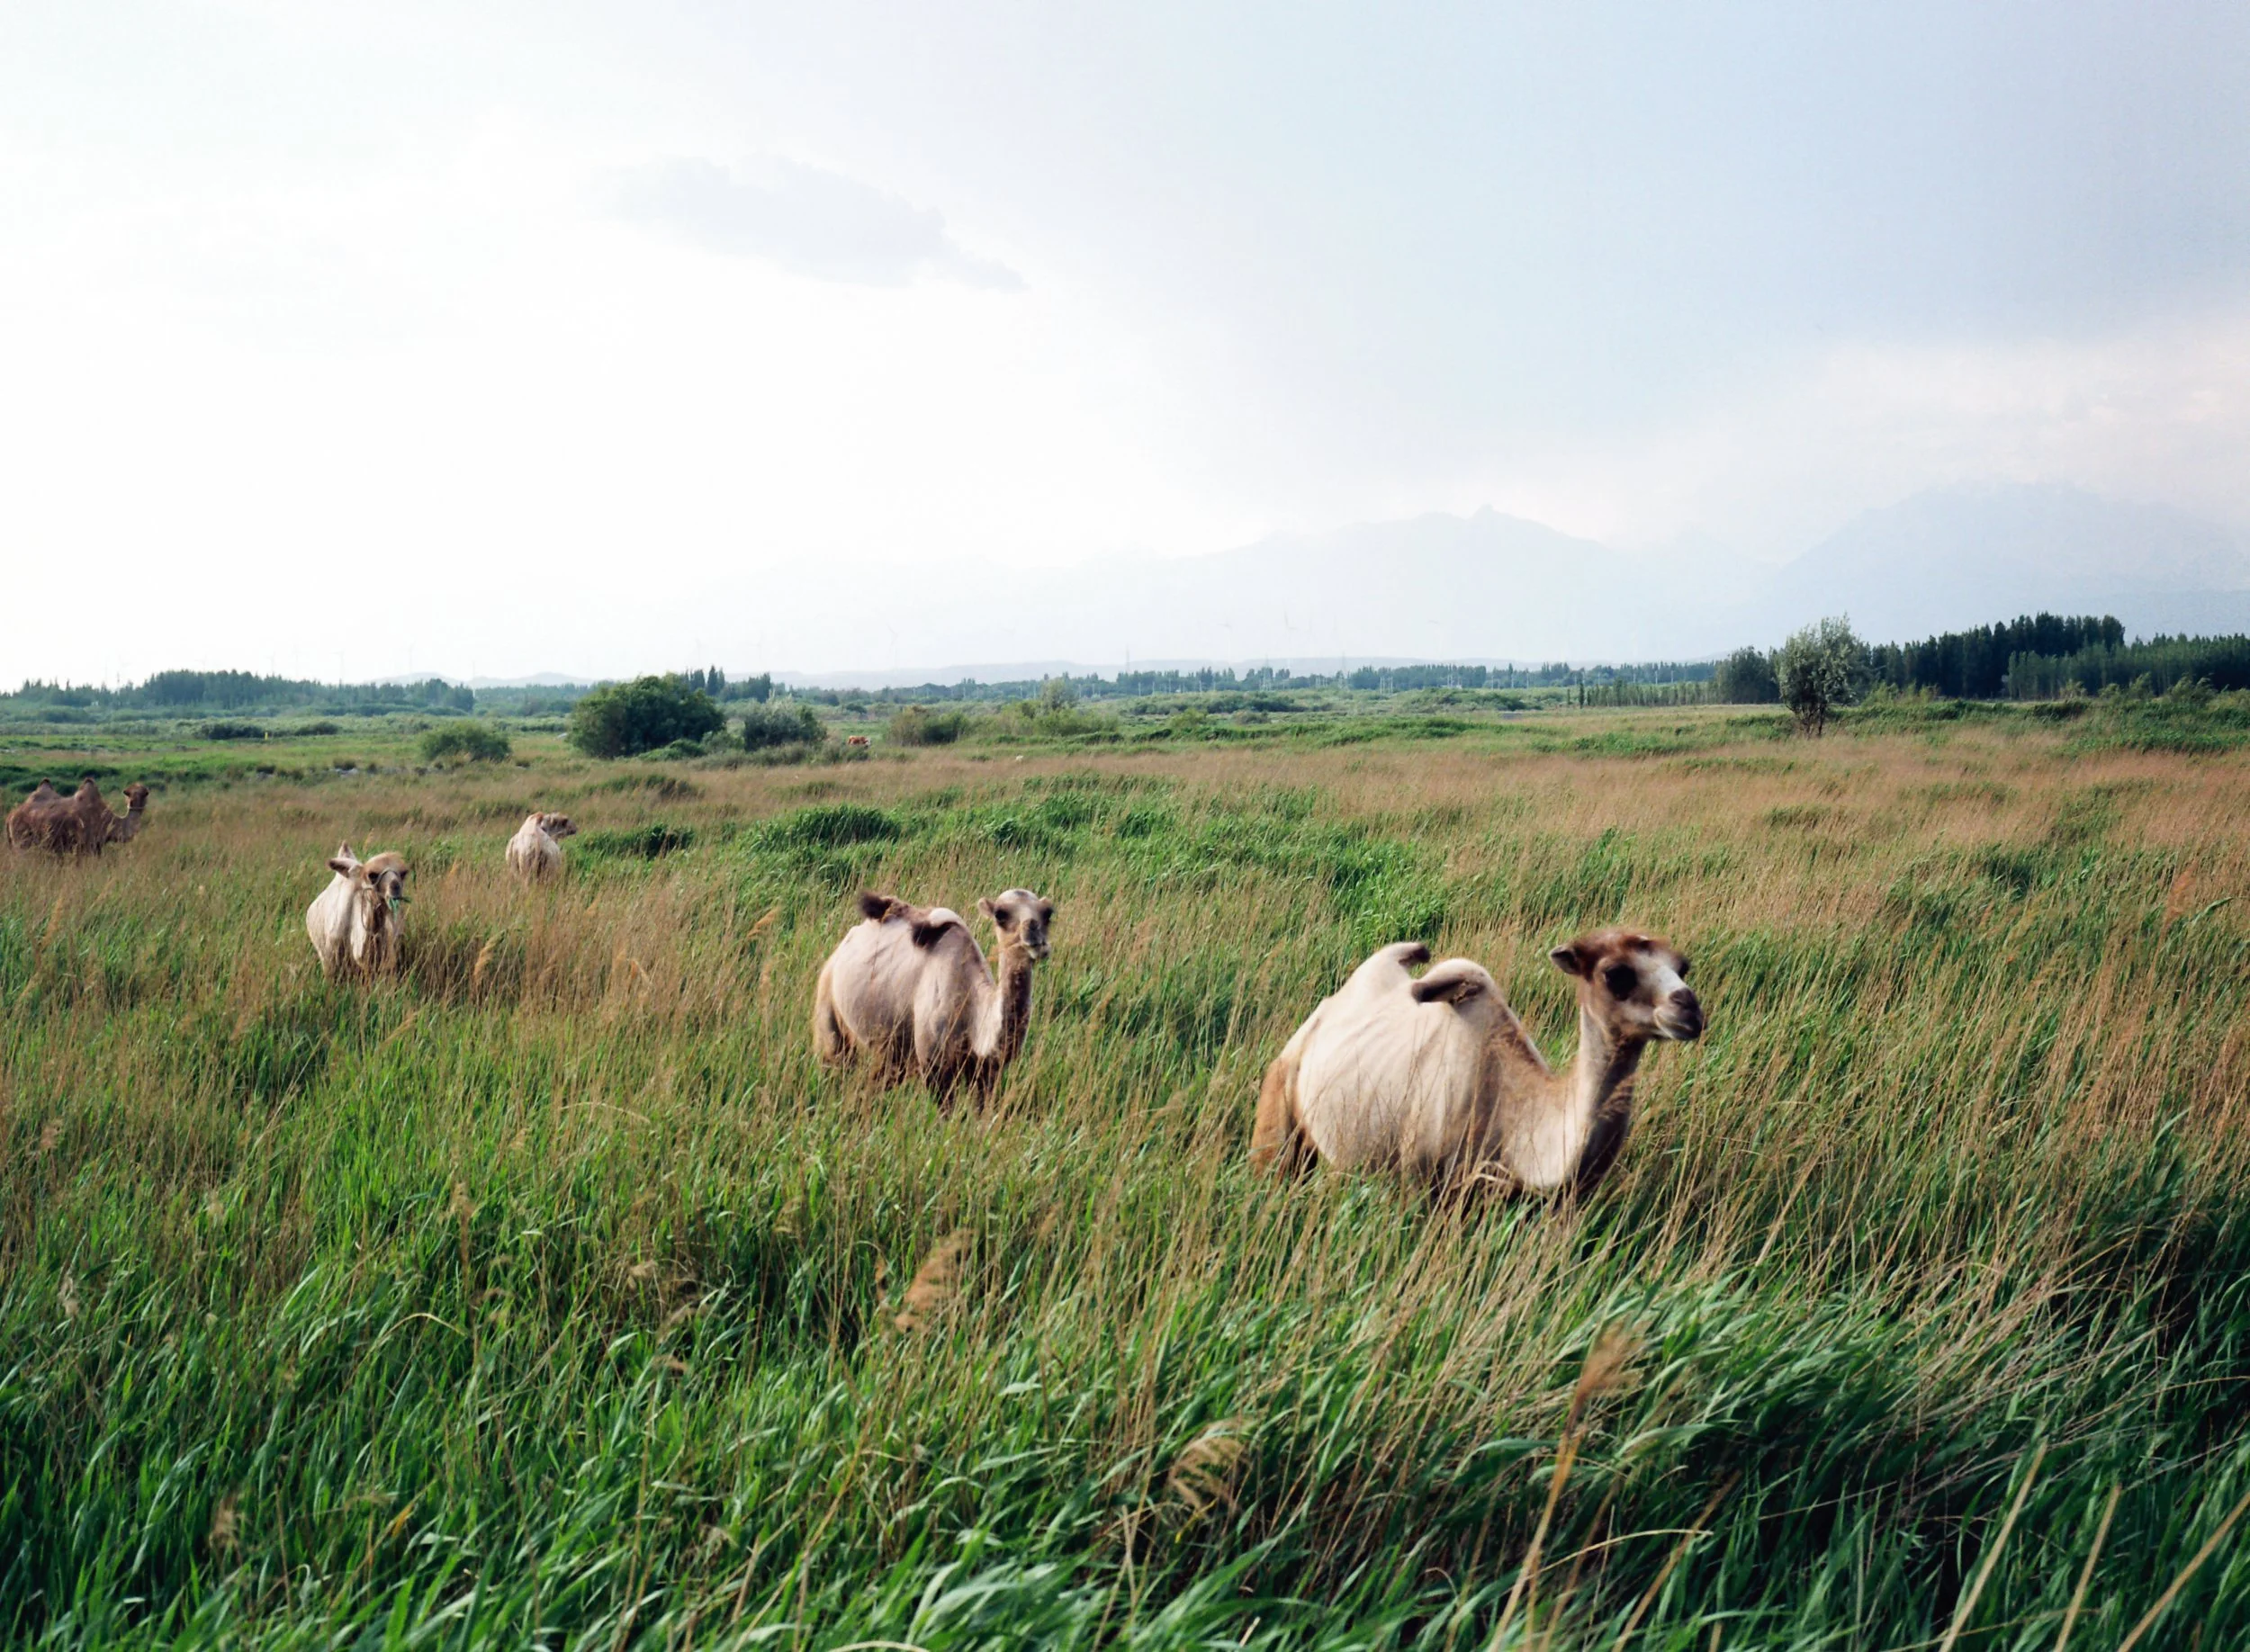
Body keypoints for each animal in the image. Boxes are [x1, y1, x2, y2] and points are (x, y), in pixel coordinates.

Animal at [6, 778, 151, 855]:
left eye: (144, 793)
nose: (134, 804)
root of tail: (10, 816)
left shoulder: (97, 847)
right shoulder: (85, 846)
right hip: (22, 841)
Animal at [813, 887, 1055, 1095]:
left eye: (1048, 913)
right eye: (1000, 914)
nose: (1034, 933)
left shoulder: (986, 1072)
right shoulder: (934, 1067)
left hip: (892, 1053)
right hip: (829, 1014)